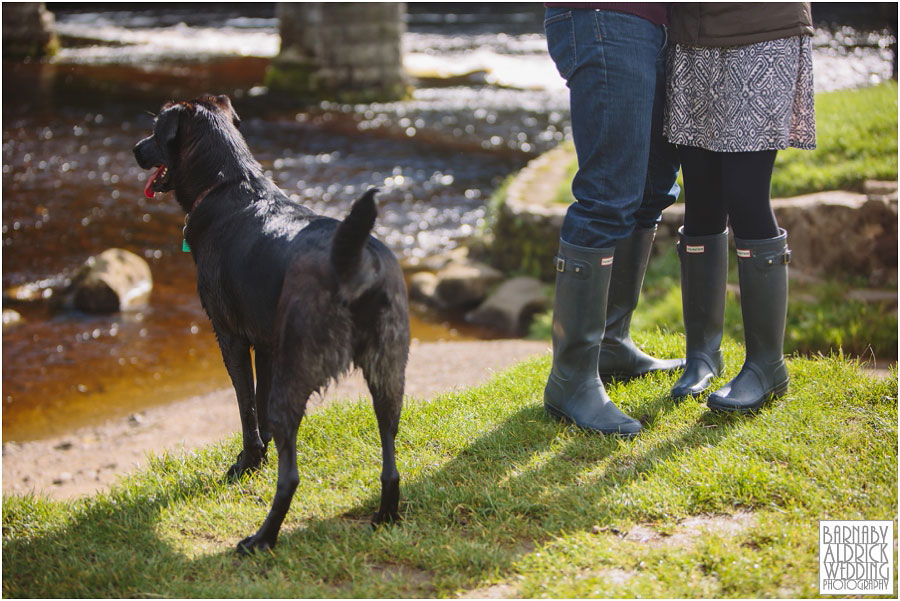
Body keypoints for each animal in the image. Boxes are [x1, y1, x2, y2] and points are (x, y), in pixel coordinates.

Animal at [133, 95, 408, 552]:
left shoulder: (229, 336)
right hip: (389, 374)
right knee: (390, 461)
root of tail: (355, 266)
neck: (231, 183)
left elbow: (246, 407)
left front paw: (246, 463)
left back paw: (261, 539)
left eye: (155, 131)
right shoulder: (264, 343)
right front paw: (258, 460)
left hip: (295, 374)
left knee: (291, 477)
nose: (135, 148)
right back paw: (385, 516)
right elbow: (257, 406)